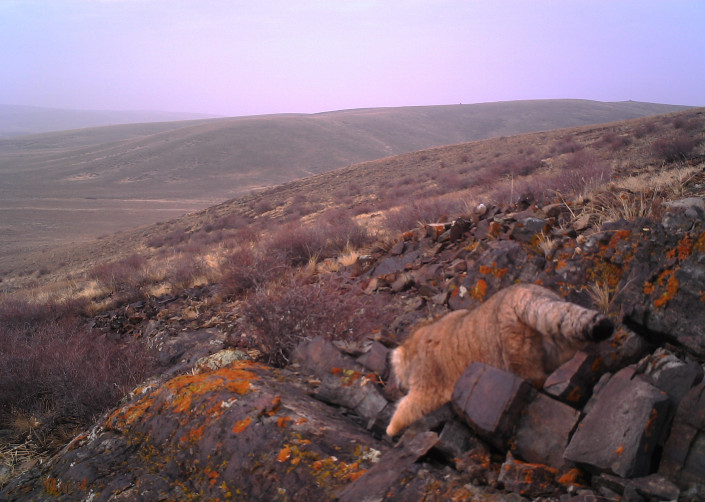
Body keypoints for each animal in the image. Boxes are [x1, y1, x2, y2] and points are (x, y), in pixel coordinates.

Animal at [384, 284, 612, 438]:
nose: (400, 385)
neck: (416, 342)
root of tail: (524, 293)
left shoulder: (429, 380)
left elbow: (413, 404)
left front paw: (391, 428)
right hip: (555, 333)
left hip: (515, 349)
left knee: (533, 375)